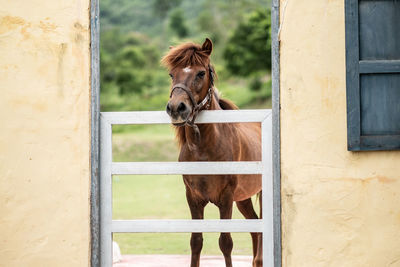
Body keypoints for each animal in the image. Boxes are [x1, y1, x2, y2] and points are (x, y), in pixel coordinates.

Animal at [162, 38, 262, 267]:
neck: (204, 151)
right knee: (254, 226)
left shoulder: (225, 198)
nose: (176, 108)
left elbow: (226, 242)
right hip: (243, 198)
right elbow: (196, 241)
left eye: (200, 73)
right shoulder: (193, 198)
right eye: (172, 74)